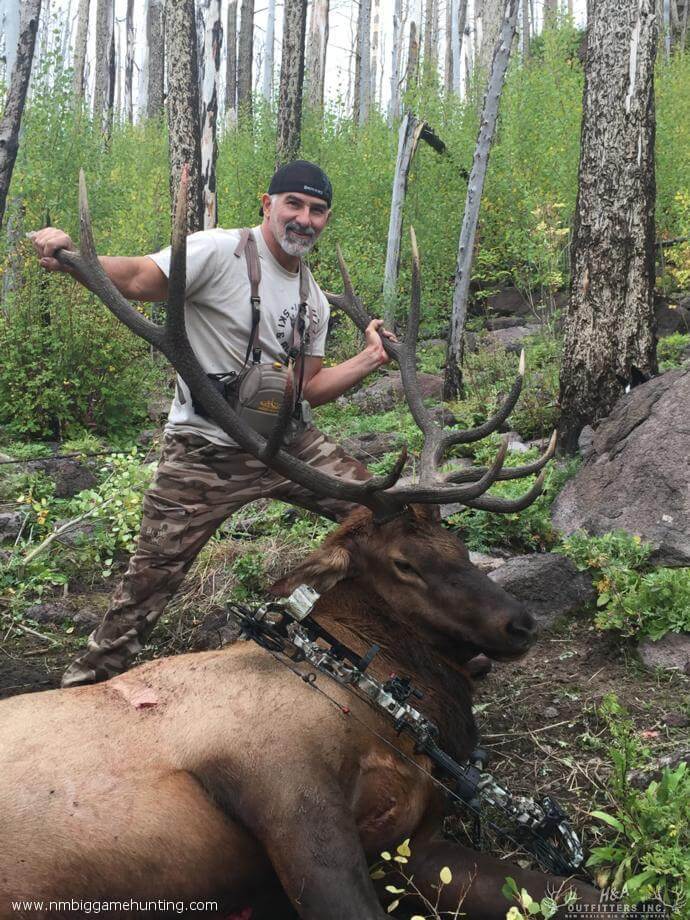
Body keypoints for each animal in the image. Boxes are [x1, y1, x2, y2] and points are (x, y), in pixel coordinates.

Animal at [0, 171, 602, 920]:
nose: (520, 623)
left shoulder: (413, 843)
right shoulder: (281, 784)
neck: (370, 690)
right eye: (403, 563)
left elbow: (582, 893)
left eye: (459, 544)